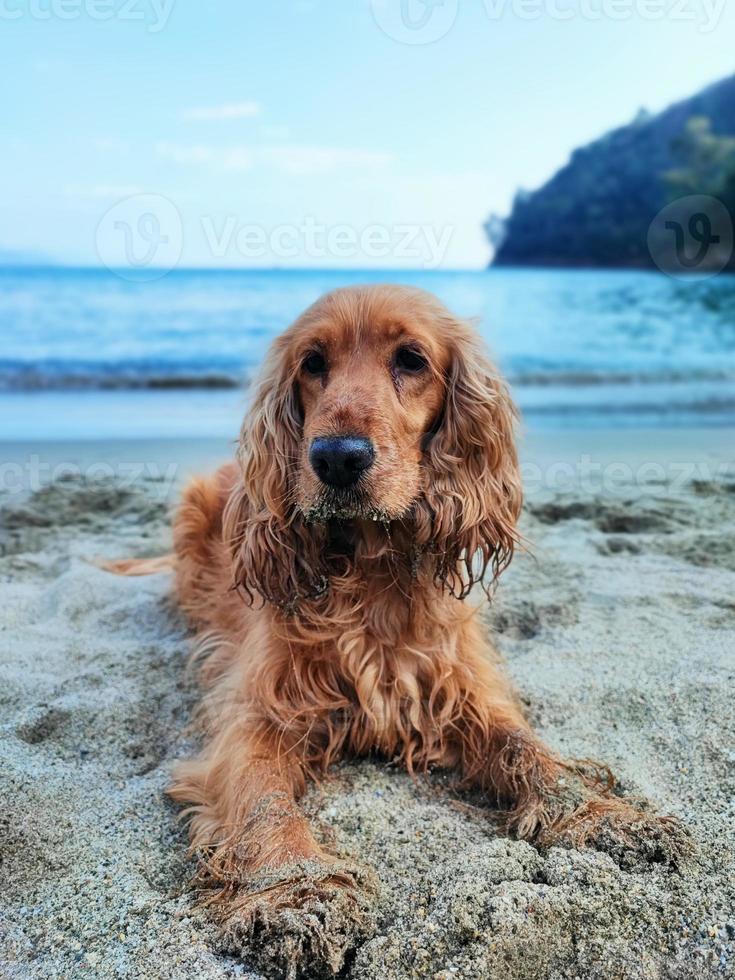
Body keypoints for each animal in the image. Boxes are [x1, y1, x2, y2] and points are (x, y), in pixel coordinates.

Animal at [108, 284, 684, 980]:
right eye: (312, 363)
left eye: (411, 359)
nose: (336, 457)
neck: (372, 576)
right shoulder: (254, 711)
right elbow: (264, 797)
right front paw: (295, 891)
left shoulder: (462, 686)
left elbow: (525, 748)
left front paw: (601, 815)